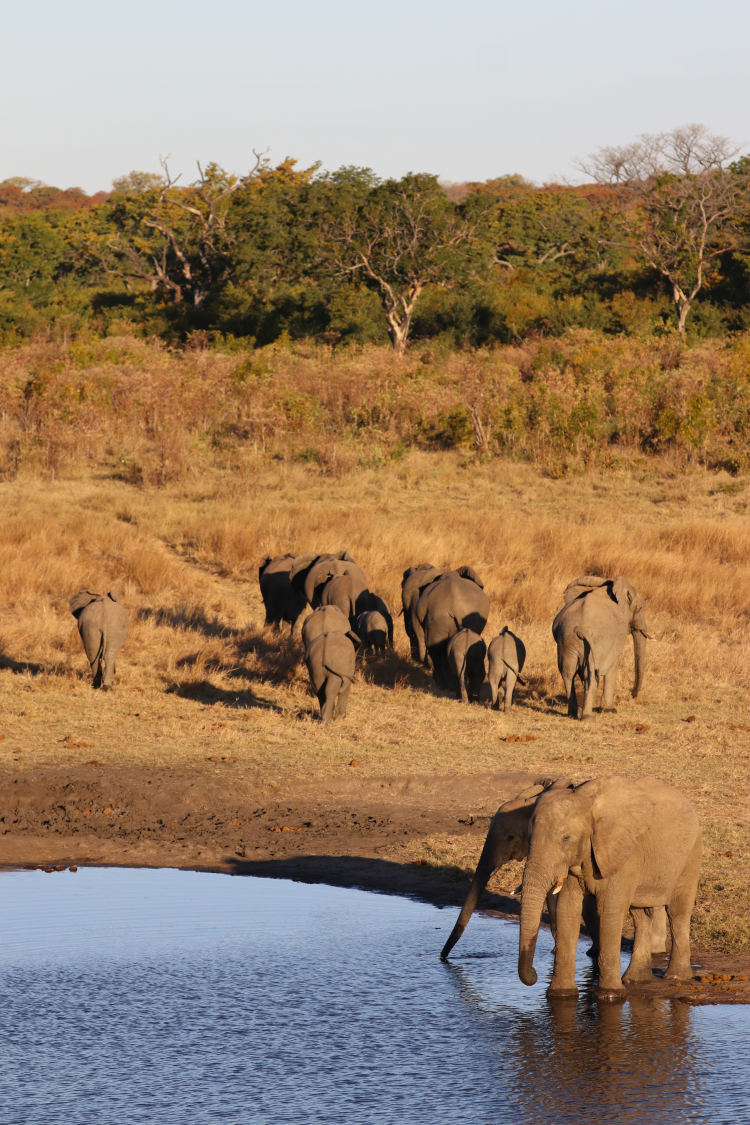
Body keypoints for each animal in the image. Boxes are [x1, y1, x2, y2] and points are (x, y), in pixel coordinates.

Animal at [518, 775, 702, 1003]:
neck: (586, 803)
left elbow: (609, 911)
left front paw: (609, 996)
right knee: (640, 916)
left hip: (691, 854)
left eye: (566, 839)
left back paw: (676, 976)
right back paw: (636, 980)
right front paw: (561, 995)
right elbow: (567, 909)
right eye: (528, 838)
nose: (534, 975)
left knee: (678, 913)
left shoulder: (625, 854)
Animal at [552, 575, 650, 720]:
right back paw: (588, 717)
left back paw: (573, 714)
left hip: (567, 641)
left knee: (567, 673)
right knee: (590, 676)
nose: (632, 695)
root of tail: (581, 629)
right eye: (641, 608)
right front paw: (609, 710)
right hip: (597, 643)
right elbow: (613, 666)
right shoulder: (612, 642)